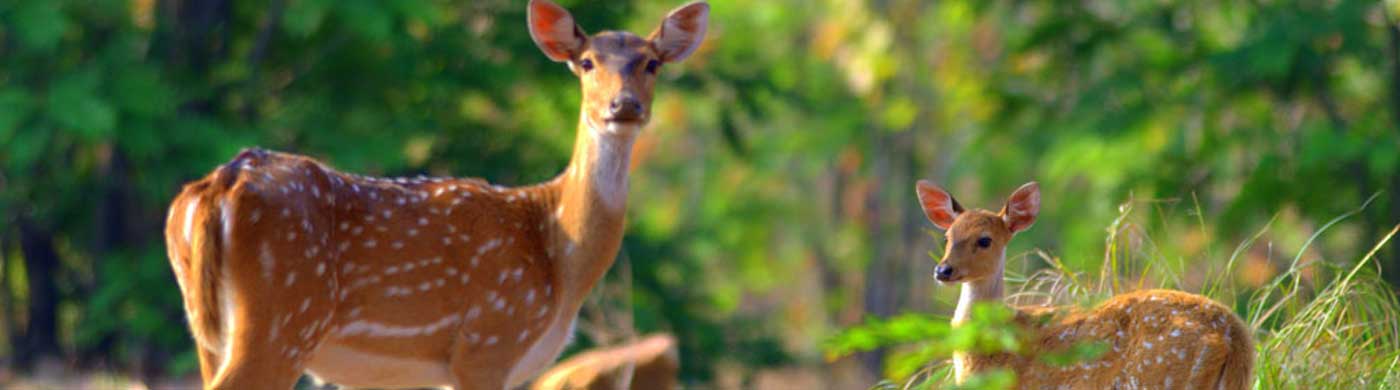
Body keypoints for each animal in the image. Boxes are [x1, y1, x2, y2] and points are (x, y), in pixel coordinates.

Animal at [163, 1, 711, 388]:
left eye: (652, 64)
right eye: (587, 62)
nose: (625, 106)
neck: (559, 252)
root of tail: (217, 186)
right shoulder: (489, 338)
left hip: (206, 323)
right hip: (283, 316)